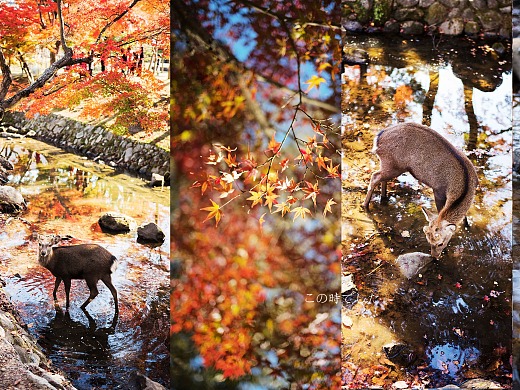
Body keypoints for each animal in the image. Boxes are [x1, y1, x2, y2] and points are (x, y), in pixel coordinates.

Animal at [362, 123, 480, 258]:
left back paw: (383, 197)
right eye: (429, 240)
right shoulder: (438, 189)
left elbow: (464, 217)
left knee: (380, 178)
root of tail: (378, 138)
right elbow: (440, 211)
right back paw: (365, 205)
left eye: (440, 243)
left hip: (390, 165)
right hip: (393, 165)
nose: (434, 257)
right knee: (374, 176)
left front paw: (467, 226)